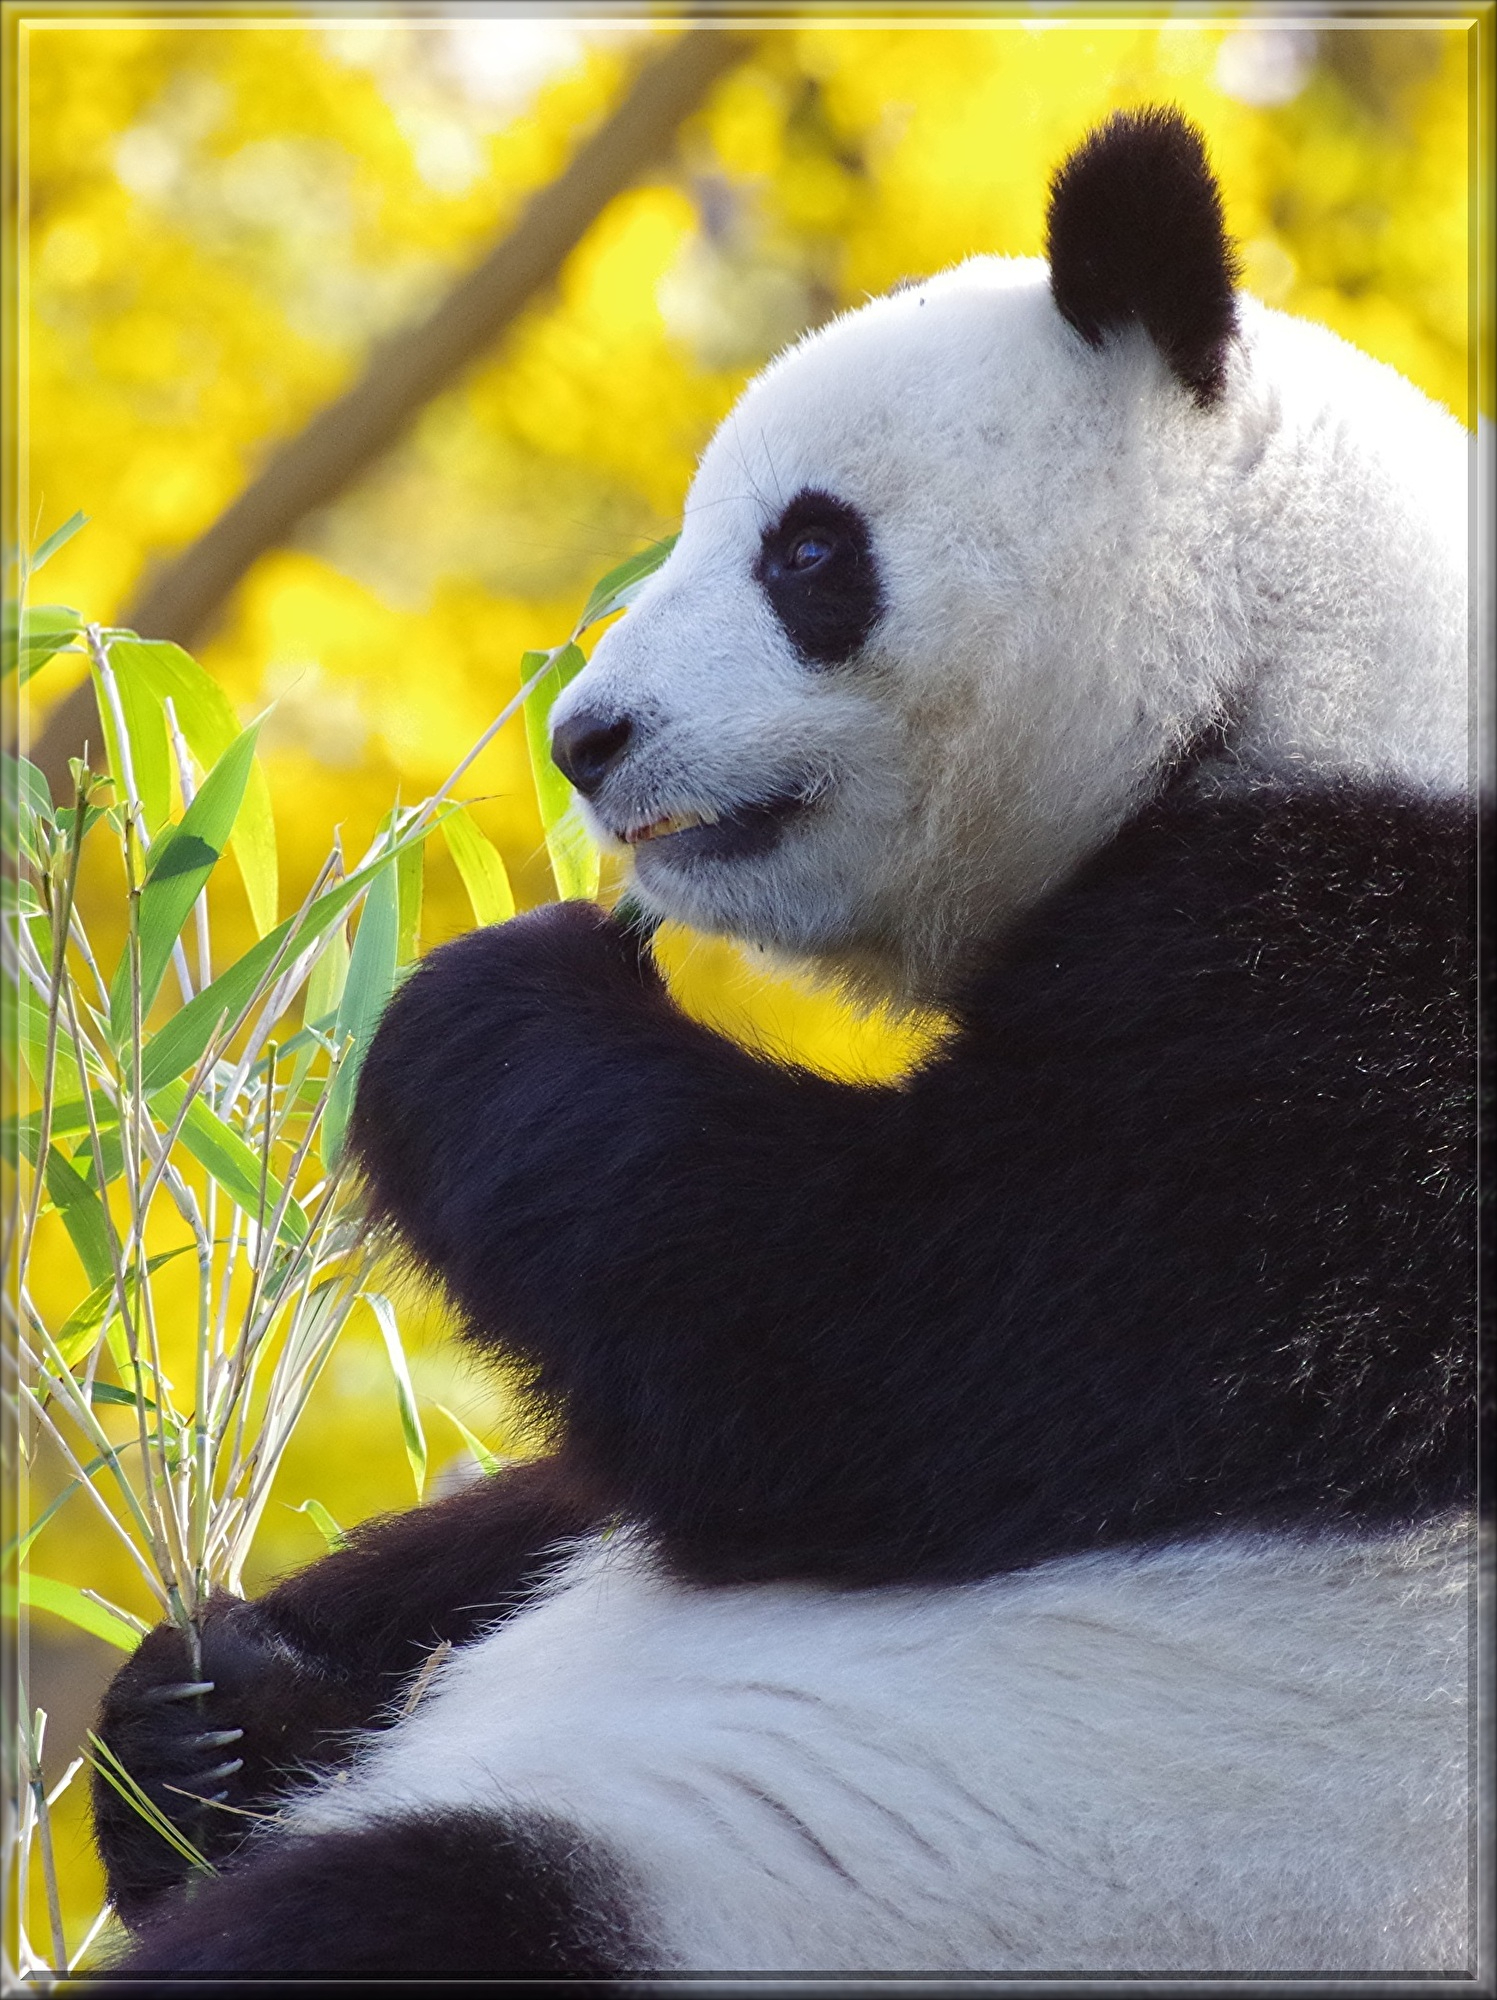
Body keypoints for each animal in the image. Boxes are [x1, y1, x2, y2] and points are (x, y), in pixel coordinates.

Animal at [93, 108, 1478, 1978]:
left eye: (808, 549)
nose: (588, 740)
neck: (1309, 655)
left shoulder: (1366, 1039)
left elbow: (860, 1339)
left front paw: (480, 992)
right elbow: (596, 1474)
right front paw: (200, 1710)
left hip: (838, 1893)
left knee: (409, 1915)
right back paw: (212, 1735)